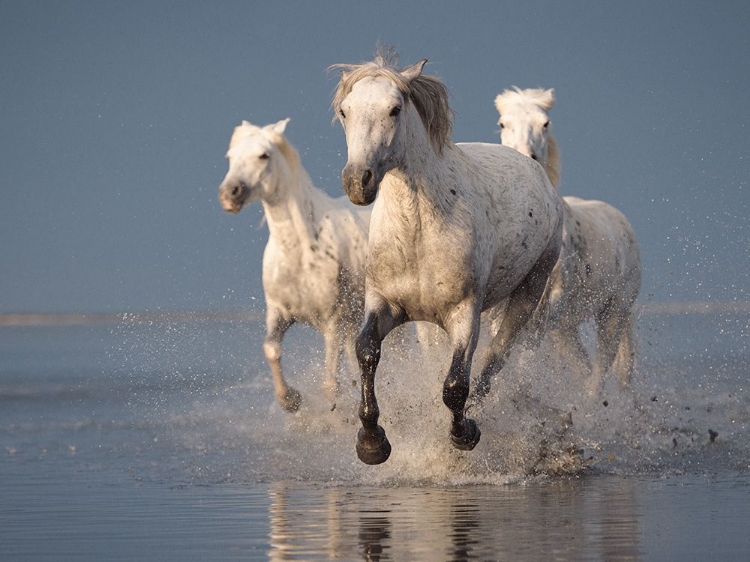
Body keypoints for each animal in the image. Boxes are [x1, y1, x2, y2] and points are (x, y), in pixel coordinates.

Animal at [217, 117, 370, 412]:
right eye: (230, 156)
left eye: (263, 155)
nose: (229, 194)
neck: (299, 254)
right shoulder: (279, 312)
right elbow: (271, 349)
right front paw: (290, 400)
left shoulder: (333, 321)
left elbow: (330, 387)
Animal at [330, 50, 564, 462]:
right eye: (345, 110)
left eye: (394, 109)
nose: (359, 181)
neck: (418, 234)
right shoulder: (385, 304)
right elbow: (366, 350)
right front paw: (372, 442)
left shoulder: (464, 313)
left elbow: (455, 385)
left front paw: (464, 434)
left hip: (529, 291)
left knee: (495, 360)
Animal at [496, 86, 644, 394]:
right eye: (503, 123)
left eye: (545, 123)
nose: (526, 158)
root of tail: (623, 224)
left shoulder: (551, 303)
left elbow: (524, 349)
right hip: (568, 330)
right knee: (587, 369)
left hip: (613, 314)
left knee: (599, 375)